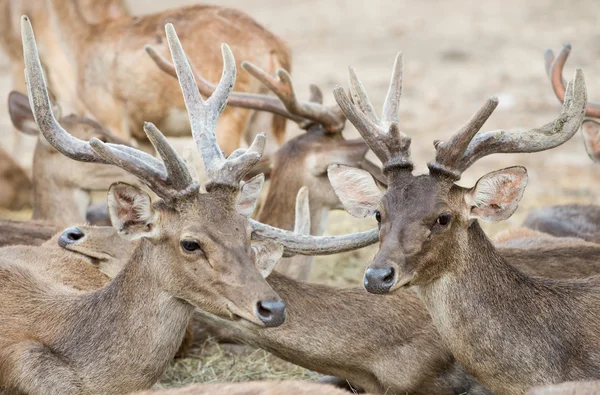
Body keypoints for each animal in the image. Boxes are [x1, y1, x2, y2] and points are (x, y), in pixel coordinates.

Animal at [0, 0, 290, 157]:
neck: (86, 39)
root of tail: (273, 44)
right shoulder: (142, 135)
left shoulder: (112, 121)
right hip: (263, 121)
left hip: (229, 123)